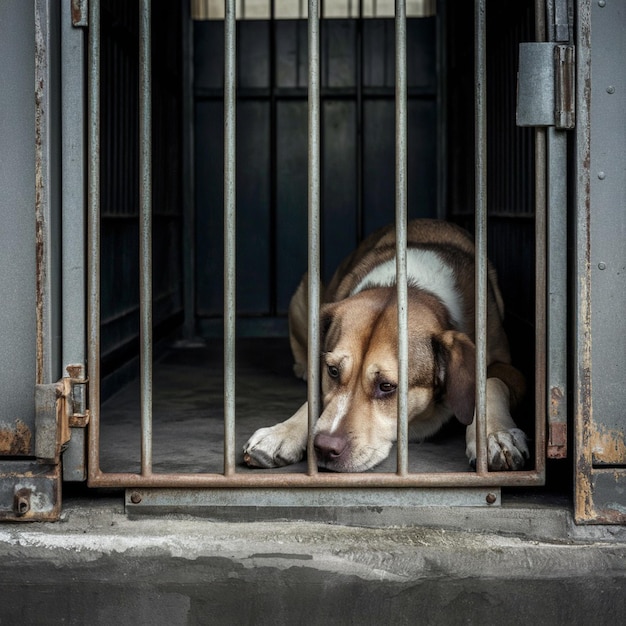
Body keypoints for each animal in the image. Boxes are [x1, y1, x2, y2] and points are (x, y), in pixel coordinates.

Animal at [243, 217, 528, 470]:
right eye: (332, 371)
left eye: (387, 386)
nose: (324, 448)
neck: (407, 285)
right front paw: (281, 433)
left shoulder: (508, 367)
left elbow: (490, 382)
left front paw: (496, 436)